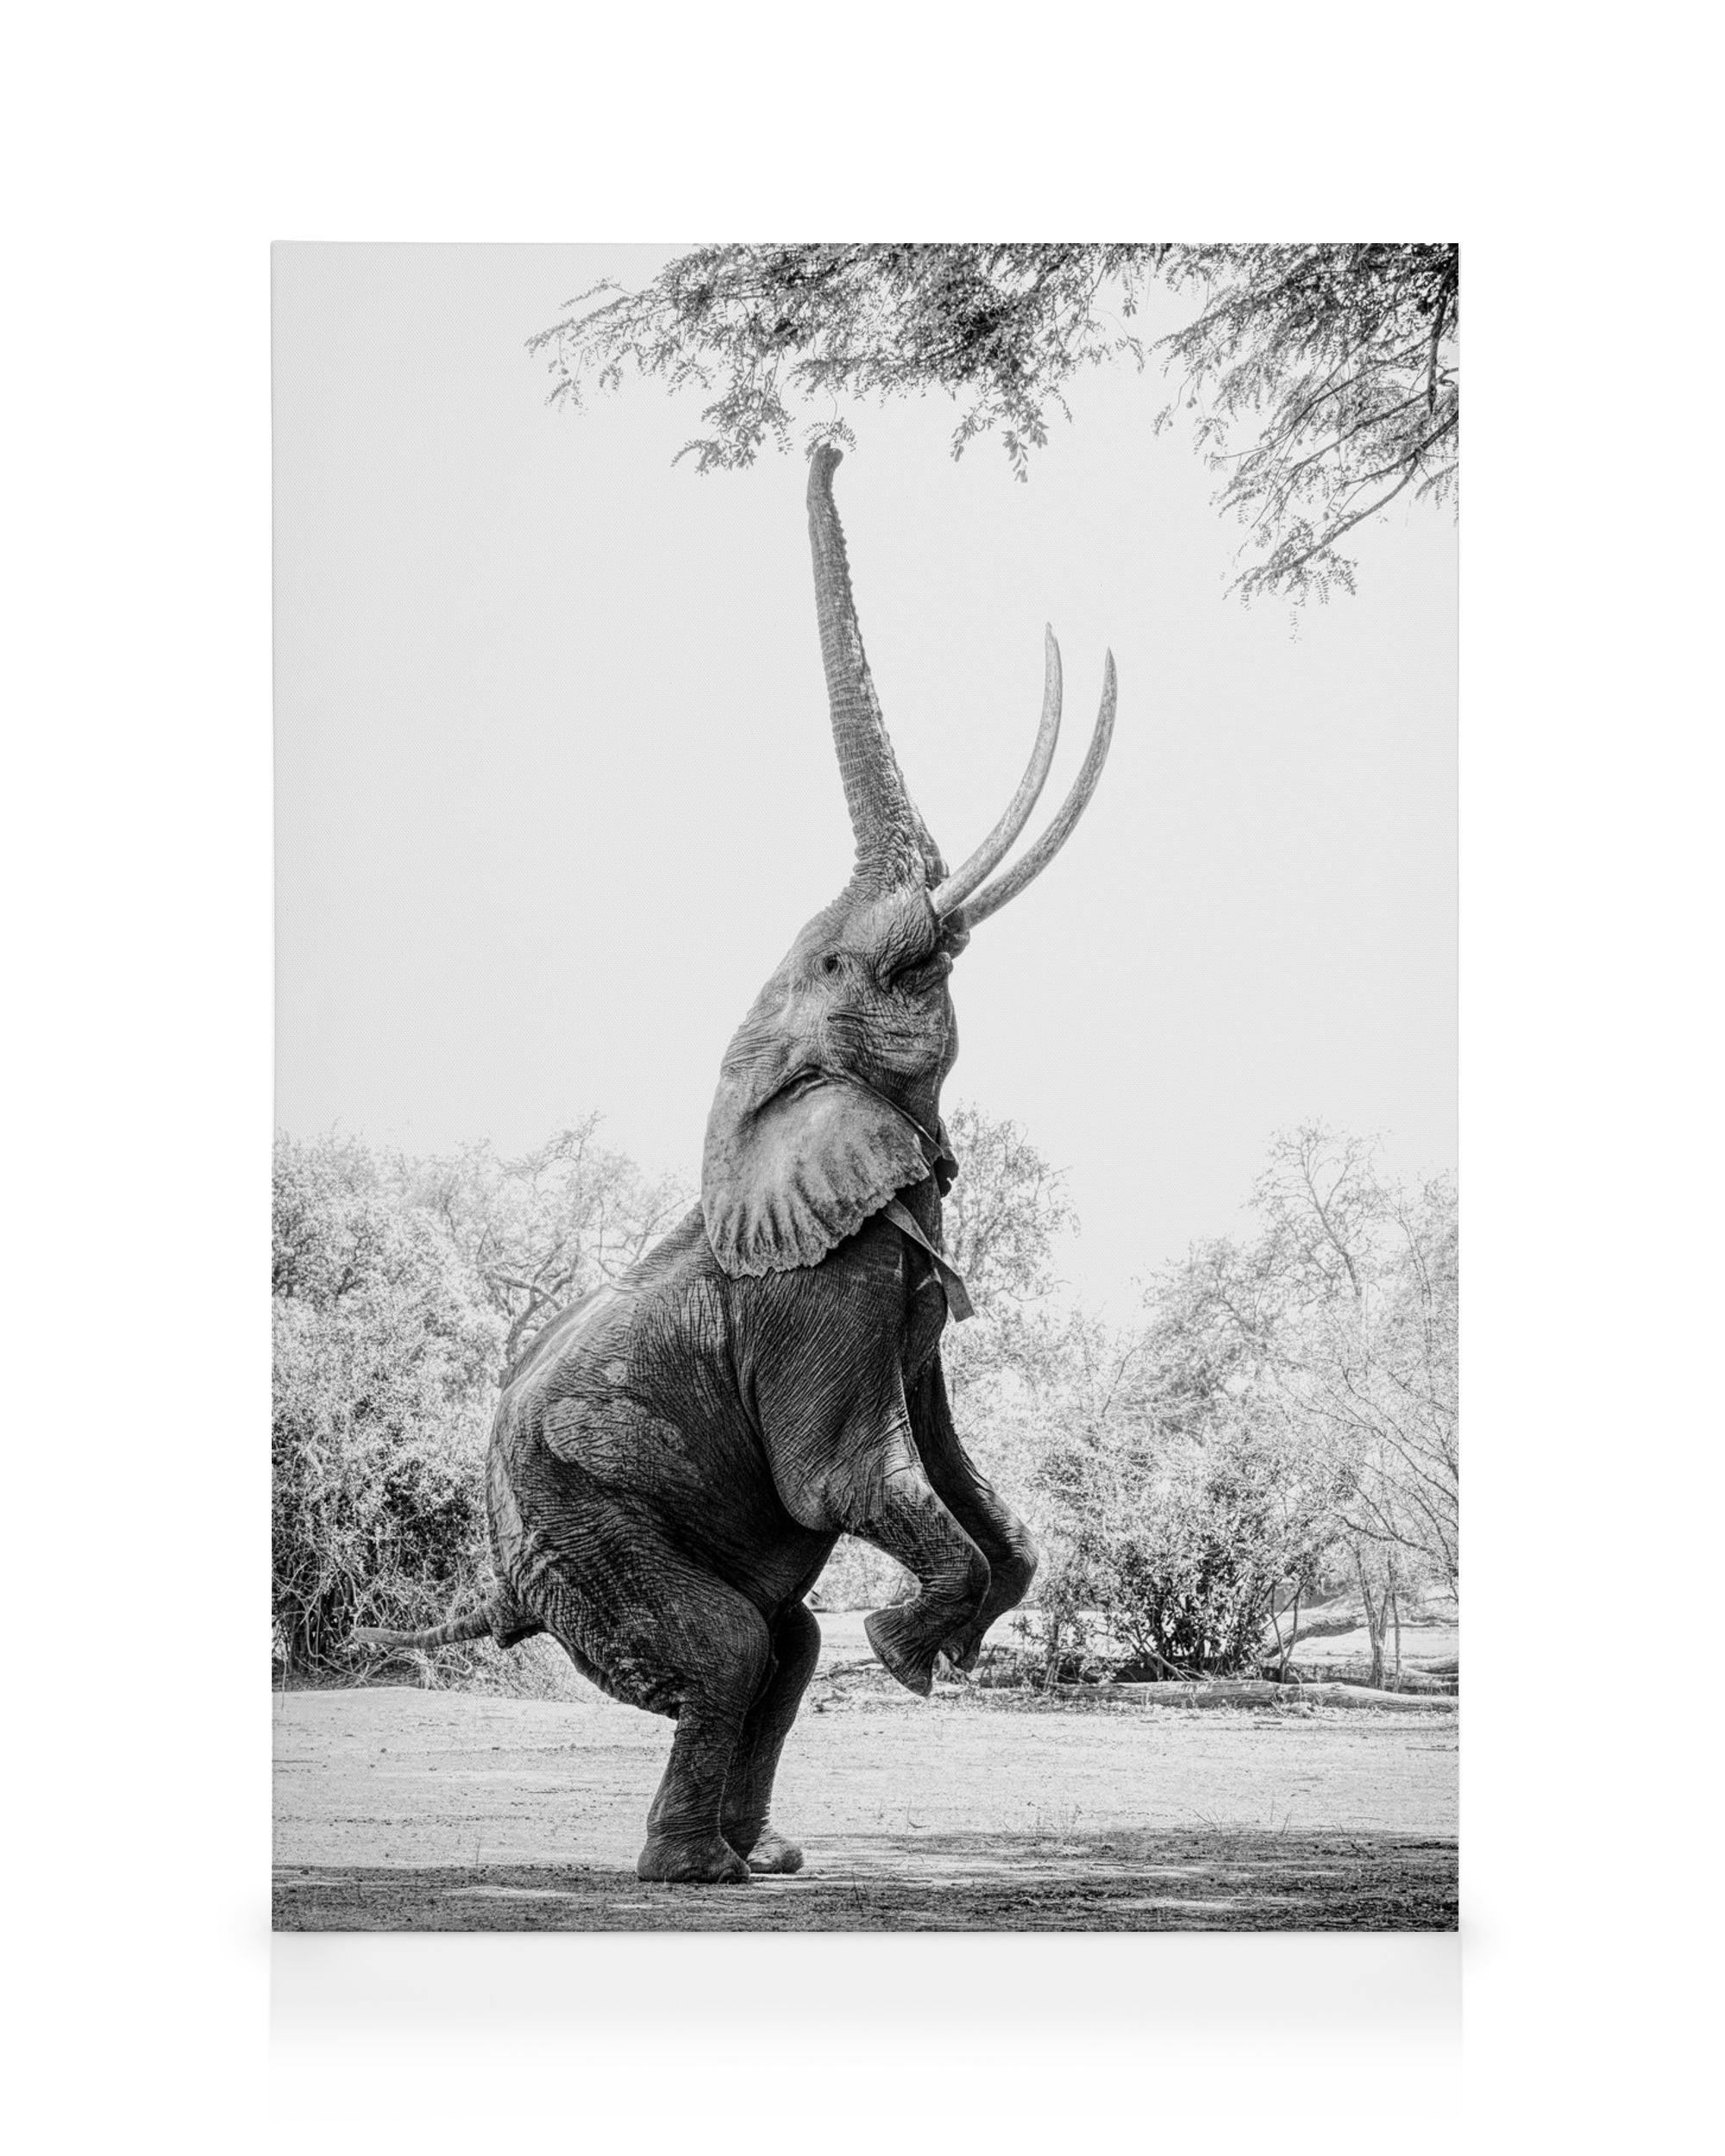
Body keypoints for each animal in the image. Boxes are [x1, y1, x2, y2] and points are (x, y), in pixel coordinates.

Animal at [356, 444, 1117, 1884]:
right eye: (847, 959)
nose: (829, 437)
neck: (769, 1088)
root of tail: (503, 1574)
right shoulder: (820, 1290)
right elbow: (840, 1479)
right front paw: (913, 1657)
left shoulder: (897, 1279)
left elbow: (957, 1468)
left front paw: (945, 1646)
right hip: (585, 1522)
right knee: (728, 1647)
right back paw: (693, 1873)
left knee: (783, 1646)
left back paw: (767, 1862)